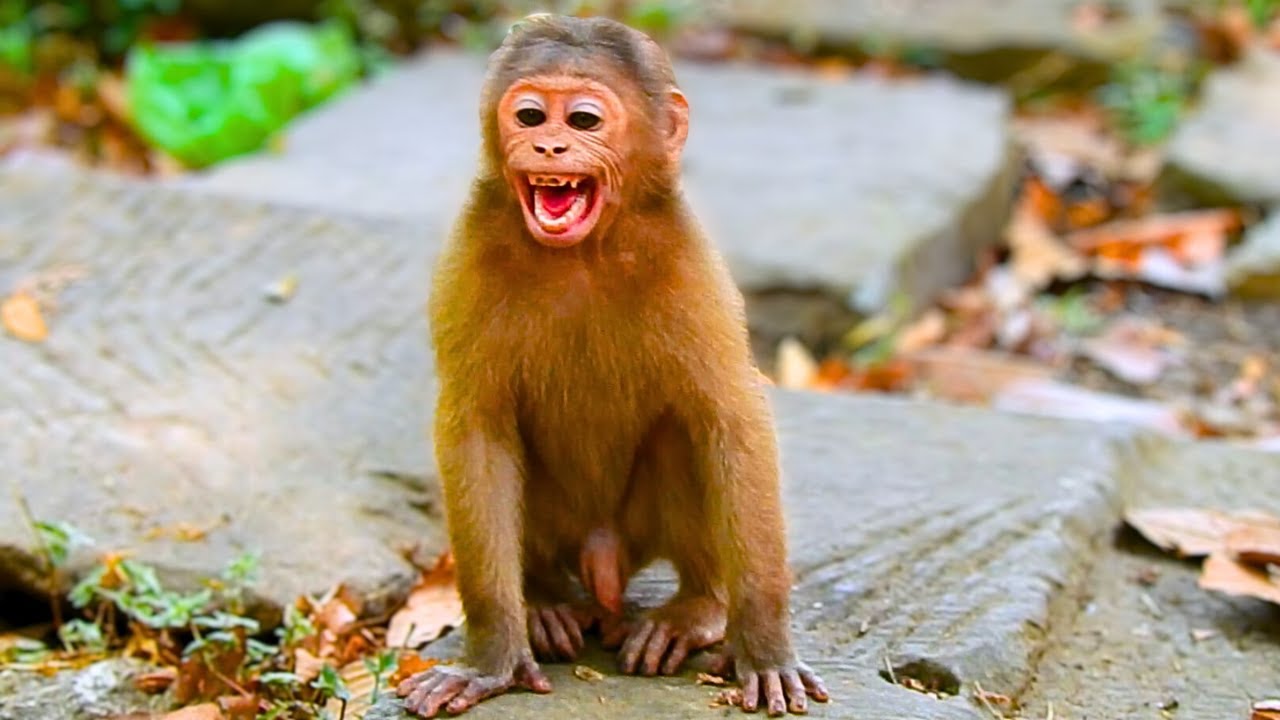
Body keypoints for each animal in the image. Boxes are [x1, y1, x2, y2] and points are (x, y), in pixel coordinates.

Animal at [397, 14, 829, 718]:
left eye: (583, 121)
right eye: (530, 114)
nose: (547, 146)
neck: (583, 250)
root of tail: (603, 560)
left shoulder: (687, 258)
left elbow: (732, 424)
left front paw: (765, 648)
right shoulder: (469, 248)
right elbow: (477, 431)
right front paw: (492, 658)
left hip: (636, 530)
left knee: (686, 434)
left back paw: (697, 610)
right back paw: (543, 601)